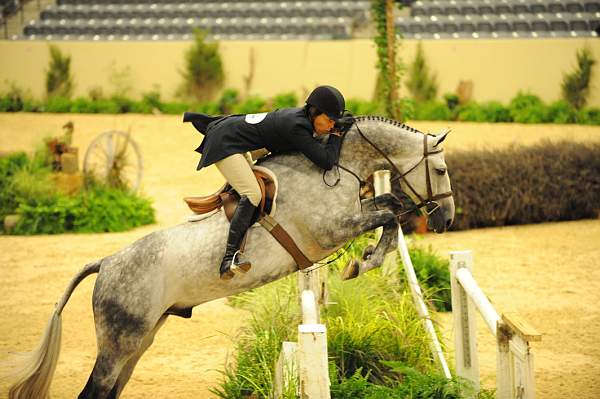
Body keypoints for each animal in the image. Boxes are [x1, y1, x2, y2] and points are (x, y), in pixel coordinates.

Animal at [5, 114, 454, 398]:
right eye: (442, 171)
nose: (446, 219)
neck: (335, 164)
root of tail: (106, 264)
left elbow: (389, 209)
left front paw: (366, 258)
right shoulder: (331, 228)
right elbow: (391, 213)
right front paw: (364, 262)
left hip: (141, 338)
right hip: (120, 340)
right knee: (96, 389)